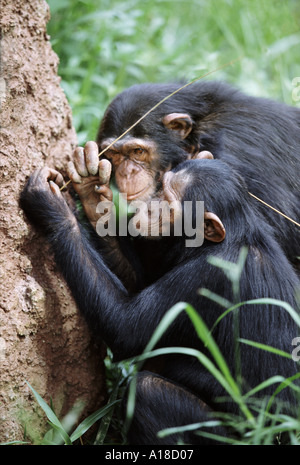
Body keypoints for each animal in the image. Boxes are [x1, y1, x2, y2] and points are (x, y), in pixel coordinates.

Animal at [20, 157, 300, 446]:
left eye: (167, 202)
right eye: (160, 190)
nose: (150, 205)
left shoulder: (205, 277)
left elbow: (125, 328)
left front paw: (53, 208)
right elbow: (137, 285)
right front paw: (91, 193)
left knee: (147, 391)